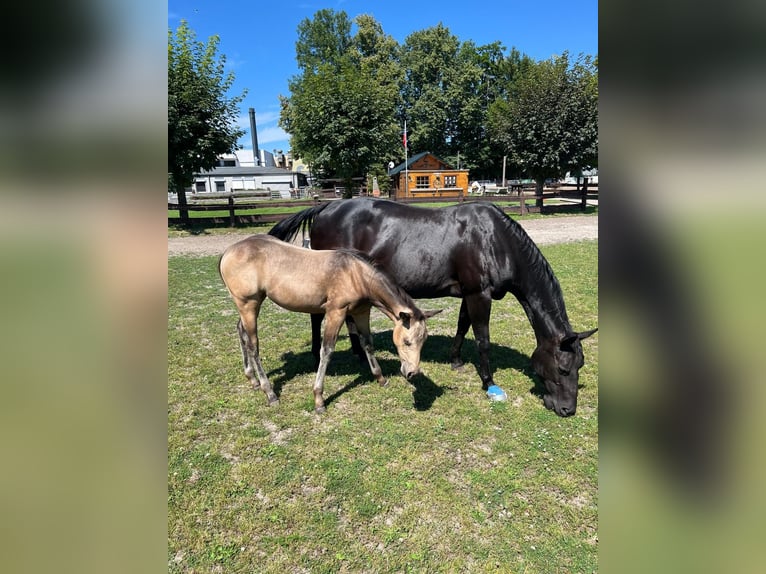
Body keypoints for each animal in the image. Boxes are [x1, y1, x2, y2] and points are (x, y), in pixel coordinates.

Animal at [218, 234, 441, 413]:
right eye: (407, 342)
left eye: (423, 341)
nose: (412, 372)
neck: (356, 274)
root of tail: (228, 252)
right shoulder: (336, 312)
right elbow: (326, 350)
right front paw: (318, 400)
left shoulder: (361, 312)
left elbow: (367, 344)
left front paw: (380, 378)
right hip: (249, 304)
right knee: (253, 345)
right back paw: (270, 392)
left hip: (248, 306)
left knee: (240, 331)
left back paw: (252, 379)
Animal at [269, 198, 597, 417]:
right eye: (563, 368)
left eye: (580, 366)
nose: (567, 410)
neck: (495, 240)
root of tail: (325, 207)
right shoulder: (480, 294)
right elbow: (483, 339)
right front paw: (490, 383)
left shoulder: (469, 294)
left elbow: (463, 326)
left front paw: (456, 360)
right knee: (316, 317)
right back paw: (318, 353)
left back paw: (359, 353)